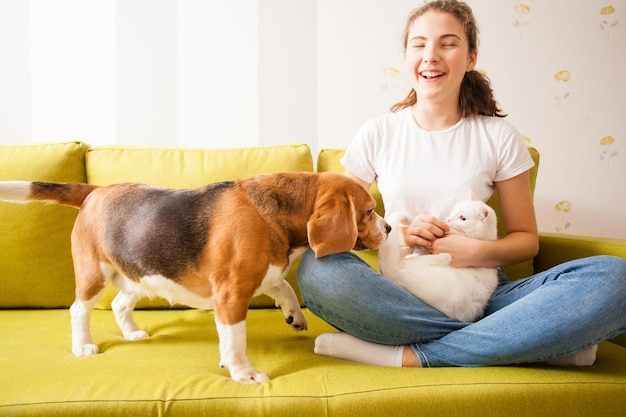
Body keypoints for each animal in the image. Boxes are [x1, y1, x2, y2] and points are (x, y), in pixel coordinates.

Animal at [0, 172, 388, 384]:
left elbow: (281, 285)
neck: (275, 211)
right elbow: (236, 339)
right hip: (94, 272)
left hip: (139, 274)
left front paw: (294, 314)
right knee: (79, 310)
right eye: (369, 211)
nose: (388, 228)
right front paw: (243, 373)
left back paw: (132, 333)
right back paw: (82, 345)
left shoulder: (258, 275)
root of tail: (96, 190)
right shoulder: (231, 293)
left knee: (120, 304)